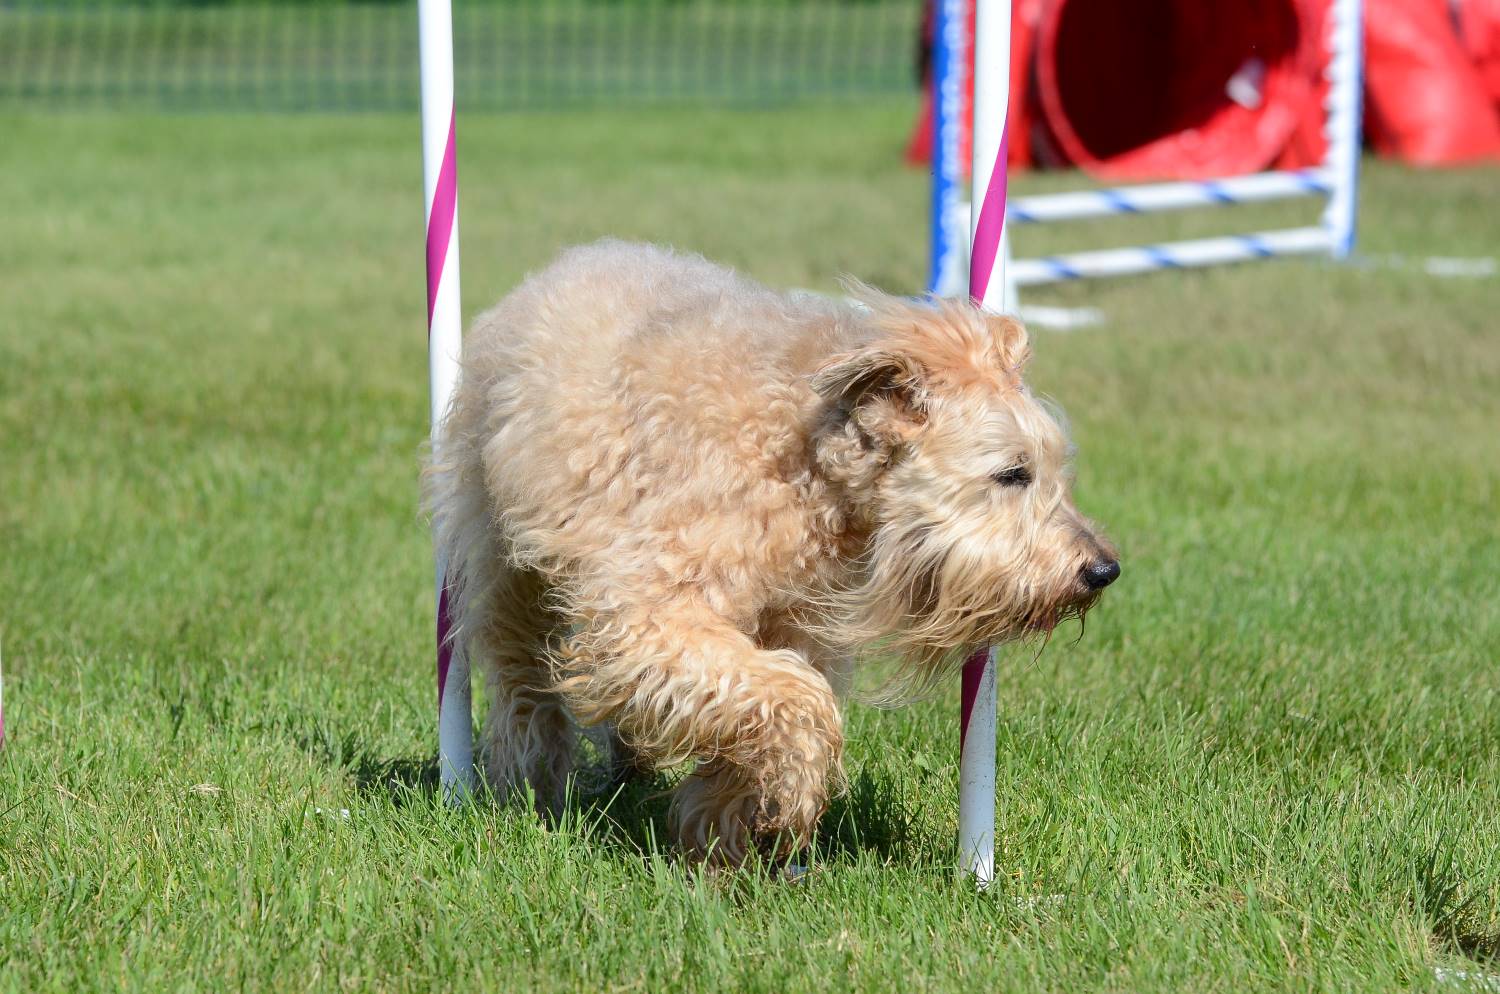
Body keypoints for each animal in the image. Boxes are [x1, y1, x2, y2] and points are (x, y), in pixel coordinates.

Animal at [423, 239, 1116, 863]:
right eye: (1012, 473)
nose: (1103, 569)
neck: (802, 463)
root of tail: (554, 273)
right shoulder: (651, 611)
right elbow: (795, 700)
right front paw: (781, 801)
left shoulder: (790, 624)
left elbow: (767, 697)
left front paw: (730, 821)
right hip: (506, 563)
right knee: (523, 676)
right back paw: (527, 779)